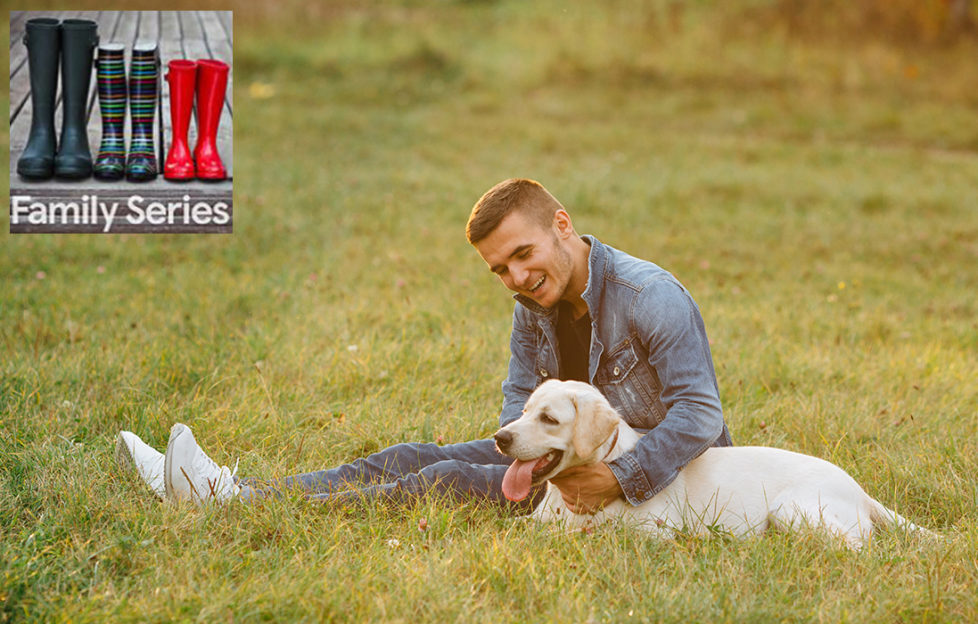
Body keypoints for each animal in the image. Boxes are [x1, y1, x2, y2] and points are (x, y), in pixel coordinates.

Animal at [496, 378, 936, 548]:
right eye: (525, 410)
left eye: (549, 419)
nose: (501, 438)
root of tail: (861, 491)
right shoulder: (533, 523)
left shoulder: (653, 533)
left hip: (792, 510)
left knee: (859, 548)